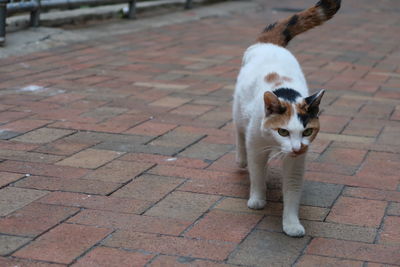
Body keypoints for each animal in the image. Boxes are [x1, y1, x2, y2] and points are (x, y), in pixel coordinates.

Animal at [233, 0, 342, 239]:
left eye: (307, 131)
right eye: (282, 131)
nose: (296, 148)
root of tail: (269, 44)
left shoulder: (297, 160)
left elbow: (292, 189)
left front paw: (291, 224)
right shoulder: (256, 147)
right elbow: (257, 173)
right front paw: (257, 199)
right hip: (238, 110)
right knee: (239, 134)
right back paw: (241, 160)